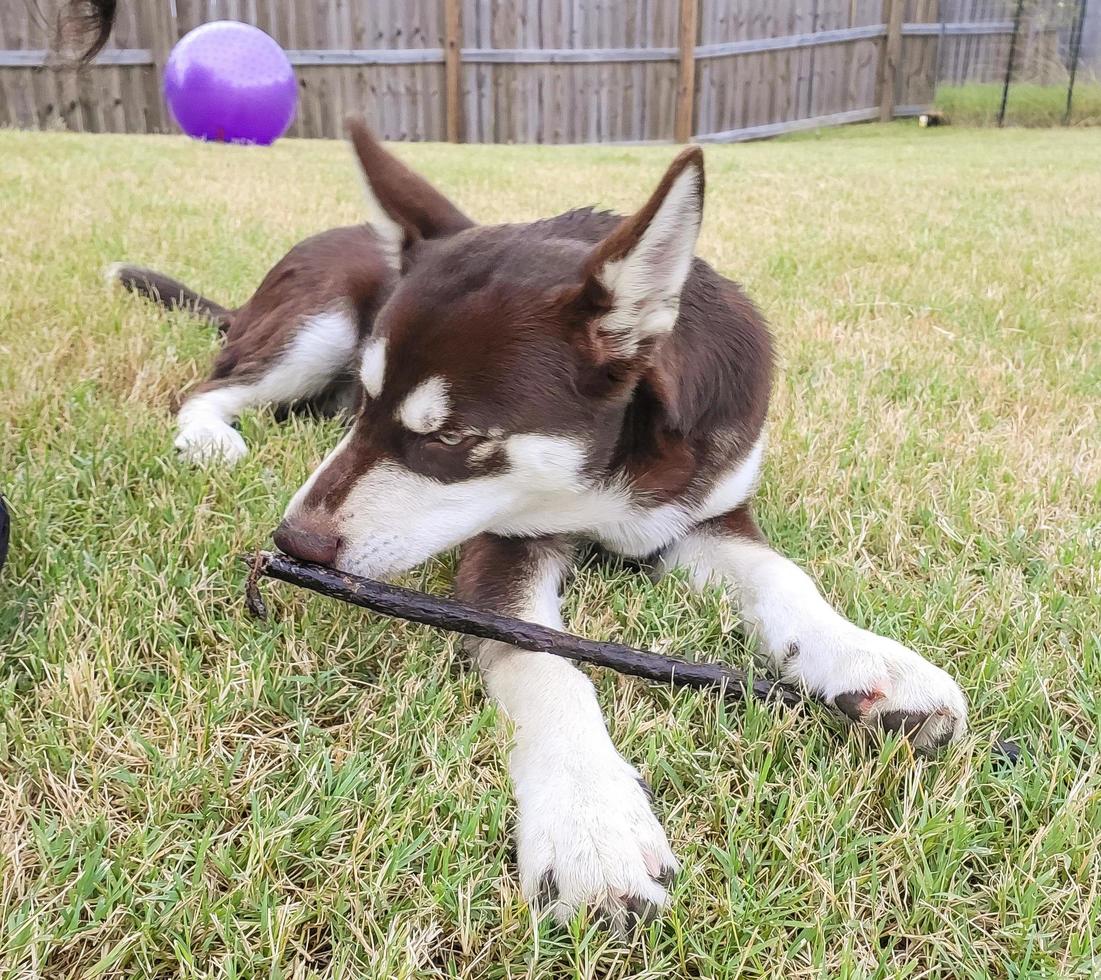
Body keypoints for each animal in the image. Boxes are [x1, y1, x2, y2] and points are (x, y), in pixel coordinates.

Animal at [266, 122, 973, 924]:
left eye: (449, 439)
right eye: (364, 402)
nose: (293, 542)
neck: (608, 479)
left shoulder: (704, 512)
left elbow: (782, 575)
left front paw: (868, 658)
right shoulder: (503, 544)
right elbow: (543, 661)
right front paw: (589, 819)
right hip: (309, 333)